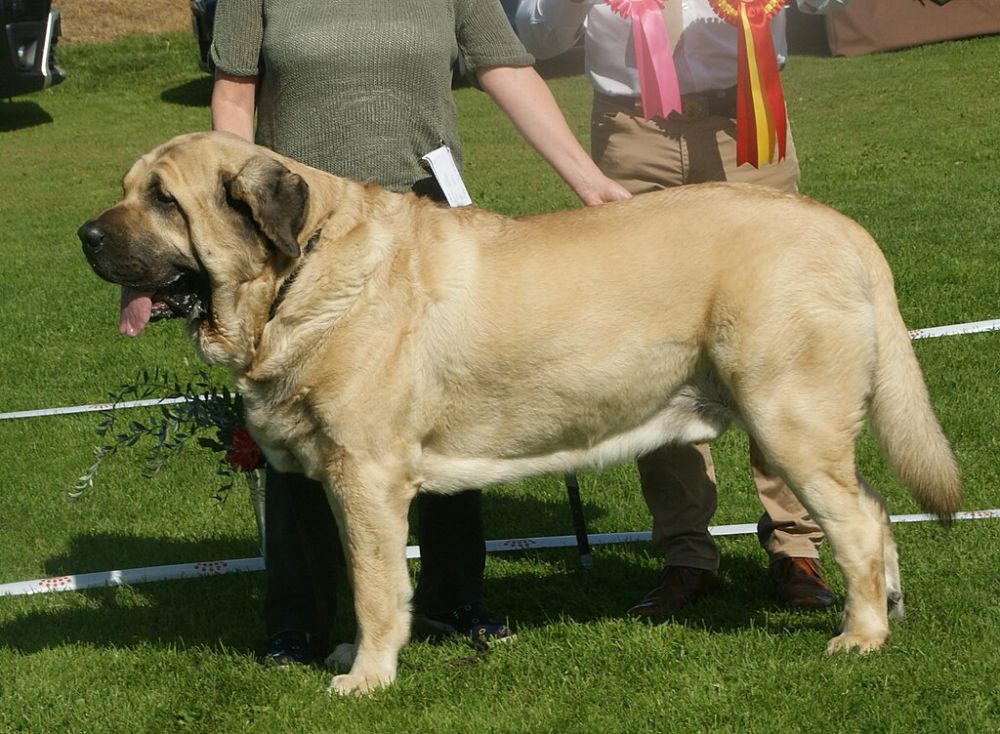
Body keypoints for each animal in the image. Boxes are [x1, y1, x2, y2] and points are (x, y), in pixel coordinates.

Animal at [80, 132, 960, 696]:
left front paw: (366, 675)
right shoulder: (343, 480)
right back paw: (890, 608)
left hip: (788, 418)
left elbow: (374, 583)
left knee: (853, 521)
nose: (85, 233)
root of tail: (843, 229)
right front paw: (353, 654)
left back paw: (860, 634)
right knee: (876, 509)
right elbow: (368, 575)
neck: (302, 269)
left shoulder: (366, 475)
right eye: (127, 190)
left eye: (163, 200)